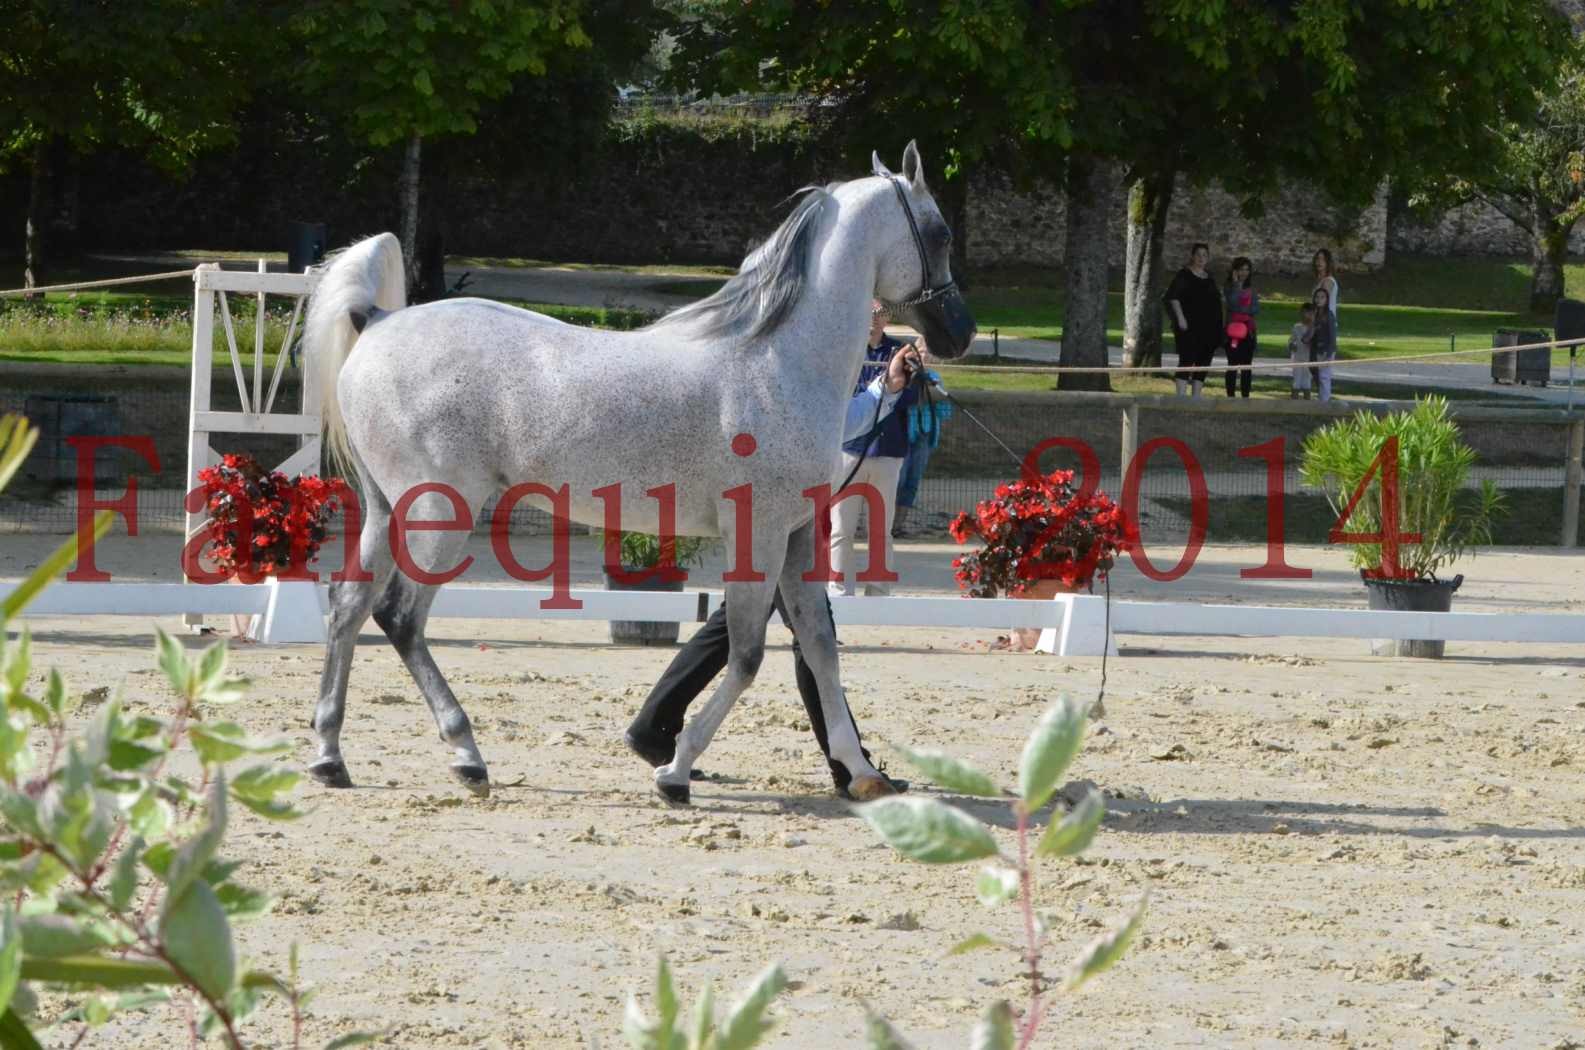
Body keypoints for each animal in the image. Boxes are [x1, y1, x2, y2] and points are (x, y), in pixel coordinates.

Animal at [296, 141, 963, 805]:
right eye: (941, 233)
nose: (958, 332)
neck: (779, 362)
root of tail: (377, 319)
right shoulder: (759, 533)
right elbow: (747, 655)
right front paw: (675, 771)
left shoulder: (796, 536)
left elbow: (820, 648)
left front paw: (863, 771)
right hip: (439, 513)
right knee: (400, 617)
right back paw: (467, 757)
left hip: (387, 510)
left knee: (348, 606)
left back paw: (330, 757)